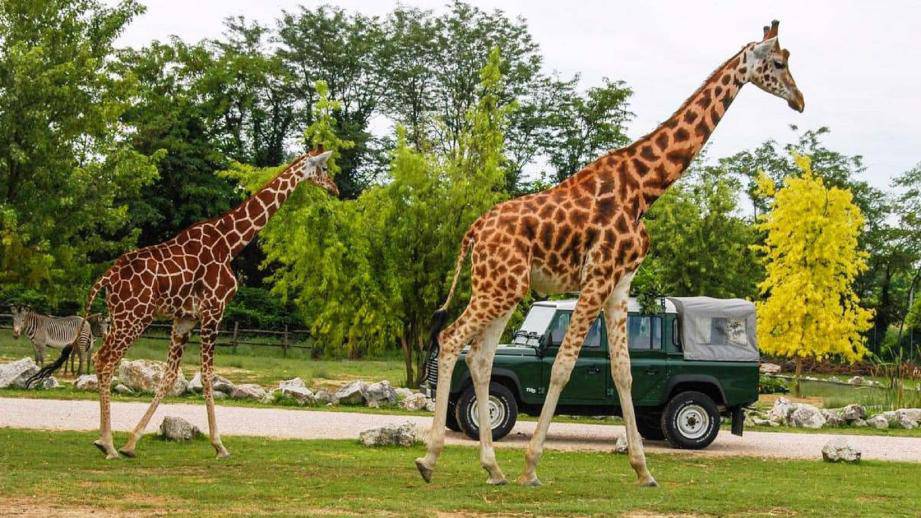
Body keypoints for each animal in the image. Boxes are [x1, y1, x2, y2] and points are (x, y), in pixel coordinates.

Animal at [27, 149, 338, 460]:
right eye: (324, 168)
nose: (335, 189)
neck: (230, 243)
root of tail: (106, 277)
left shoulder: (185, 318)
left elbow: (170, 375)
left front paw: (132, 443)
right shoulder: (214, 310)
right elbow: (207, 374)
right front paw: (219, 446)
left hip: (119, 316)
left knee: (105, 359)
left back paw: (109, 442)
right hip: (135, 317)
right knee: (105, 359)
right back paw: (107, 444)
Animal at [416, 20, 796, 490]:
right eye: (777, 63)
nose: (799, 100)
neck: (645, 189)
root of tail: (473, 232)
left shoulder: (620, 282)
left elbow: (623, 372)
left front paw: (644, 470)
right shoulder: (597, 276)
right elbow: (562, 365)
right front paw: (532, 466)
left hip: (503, 287)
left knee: (481, 357)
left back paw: (492, 467)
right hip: (498, 286)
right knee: (451, 340)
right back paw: (430, 459)